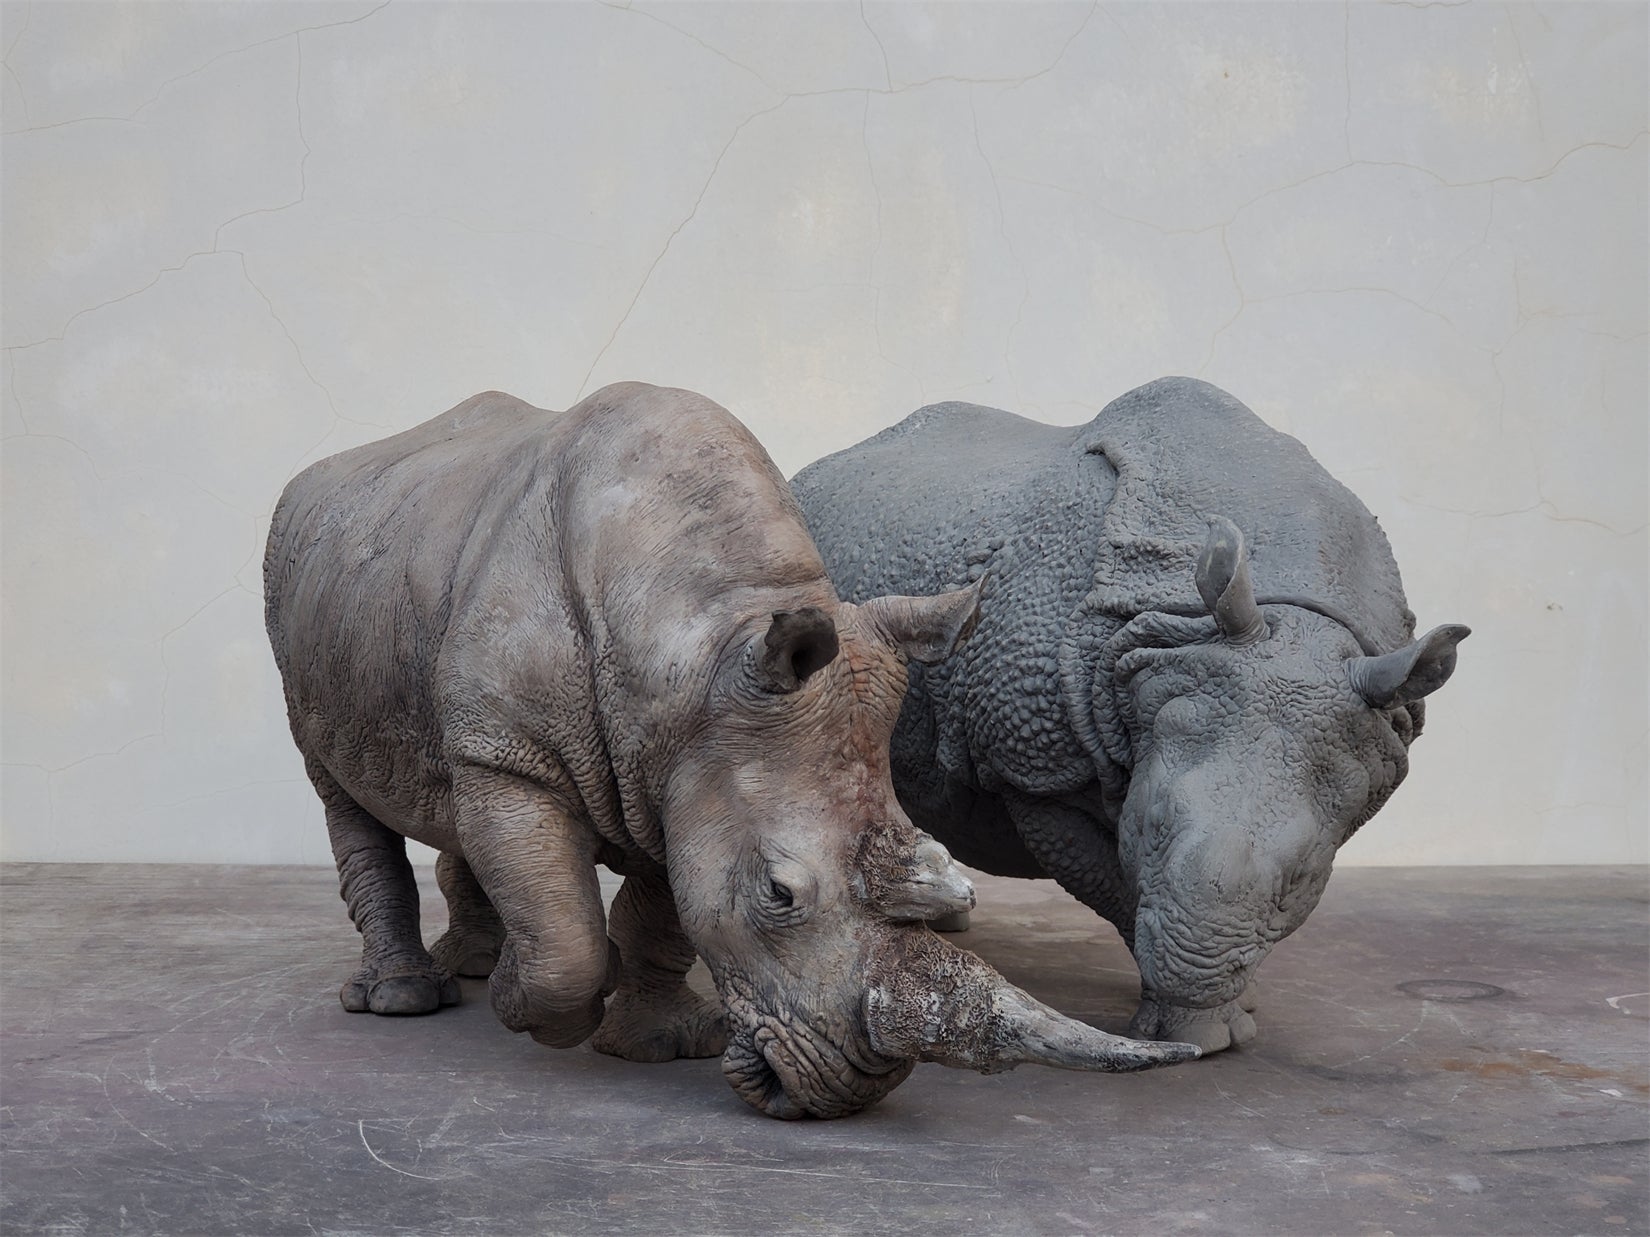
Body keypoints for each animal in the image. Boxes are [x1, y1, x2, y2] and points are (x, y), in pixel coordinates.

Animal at [263, 381, 1197, 1119]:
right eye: (778, 894)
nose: (848, 1091)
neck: (704, 634)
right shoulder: (516, 752)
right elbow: (565, 932)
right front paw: (533, 1001)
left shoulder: (681, 761)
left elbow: (665, 906)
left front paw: (659, 1040)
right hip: (300, 585)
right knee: (338, 787)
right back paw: (405, 999)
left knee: (445, 792)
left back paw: (471, 964)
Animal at [792, 377, 1469, 1054]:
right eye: (1150, 826)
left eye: (1304, 875)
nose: (1196, 969)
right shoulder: (1035, 769)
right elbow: (1112, 885)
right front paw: (1200, 1027)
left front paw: (1223, 1009)